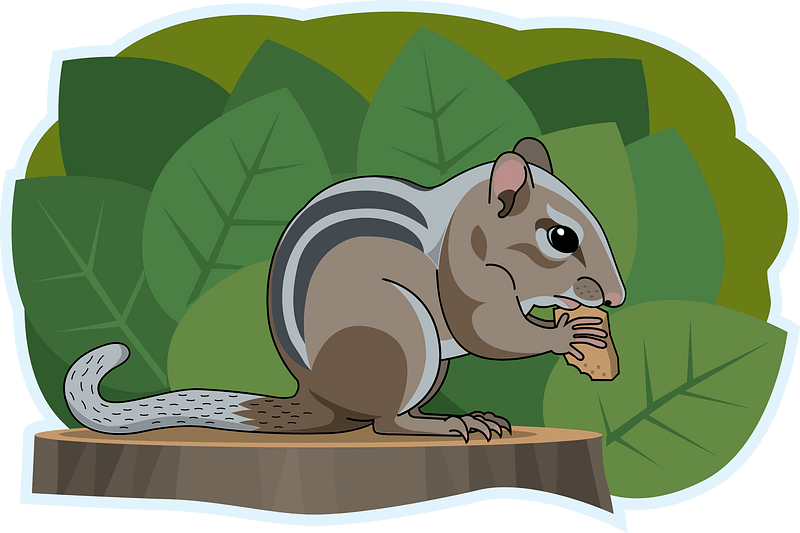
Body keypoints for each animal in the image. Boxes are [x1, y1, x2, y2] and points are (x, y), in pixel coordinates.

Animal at [64, 137, 625, 441]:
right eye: (560, 237)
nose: (617, 298)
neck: (471, 219)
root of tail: (320, 398)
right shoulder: (467, 273)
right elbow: (488, 332)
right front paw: (567, 336)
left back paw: (464, 417)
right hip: (402, 338)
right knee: (388, 424)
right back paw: (447, 425)